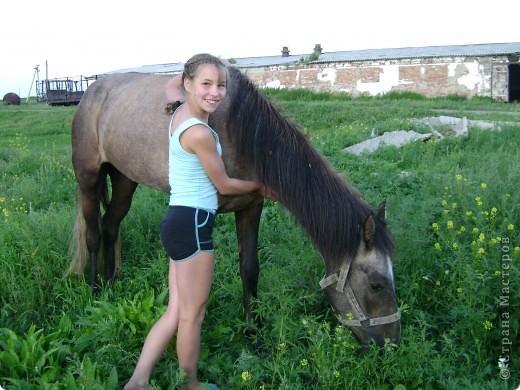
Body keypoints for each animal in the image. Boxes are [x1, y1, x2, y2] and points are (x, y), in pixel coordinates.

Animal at [68, 66, 402, 348]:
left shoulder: (251, 208)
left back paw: (111, 282)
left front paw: (253, 332)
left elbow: (250, 269)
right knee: (93, 234)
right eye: (376, 285)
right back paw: (95, 290)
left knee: (111, 226)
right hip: (88, 179)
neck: (243, 133)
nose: (391, 345)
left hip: (125, 179)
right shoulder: (206, 216)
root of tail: (92, 91)